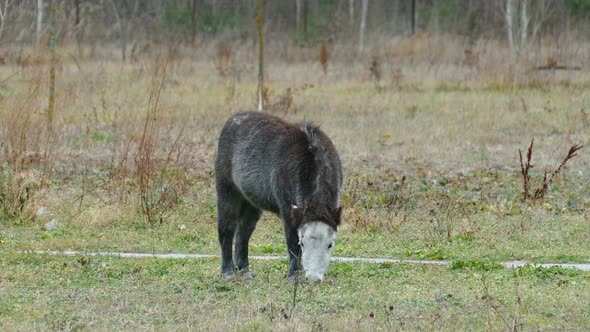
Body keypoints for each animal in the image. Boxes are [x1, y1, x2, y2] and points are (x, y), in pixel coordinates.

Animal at [215, 111, 344, 282]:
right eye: (303, 243)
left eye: (330, 244)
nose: (314, 279)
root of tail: (232, 120)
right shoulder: (288, 211)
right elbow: (292, 244)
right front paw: (294, 276)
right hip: (227, 191)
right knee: (227, 228)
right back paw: (228, 272)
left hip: (251, 203)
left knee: (243, 232)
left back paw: (244, 271)